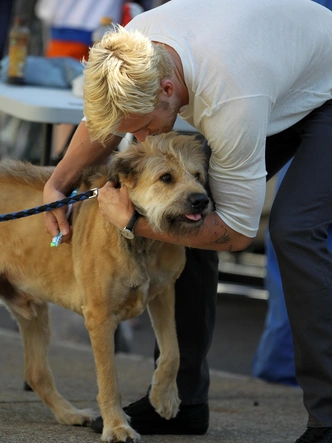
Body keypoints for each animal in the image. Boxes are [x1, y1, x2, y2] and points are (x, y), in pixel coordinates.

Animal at [0, 133, 211, 443]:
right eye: (166, 177)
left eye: (197, 176)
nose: (201, 200)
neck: (138, 235)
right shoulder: (99, 318)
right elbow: (109, 379)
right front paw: (117, 426)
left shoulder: (163, 294)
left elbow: (172, 350)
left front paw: (165, 398)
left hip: (33, 311)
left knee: (35, 372)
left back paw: (70, 414)